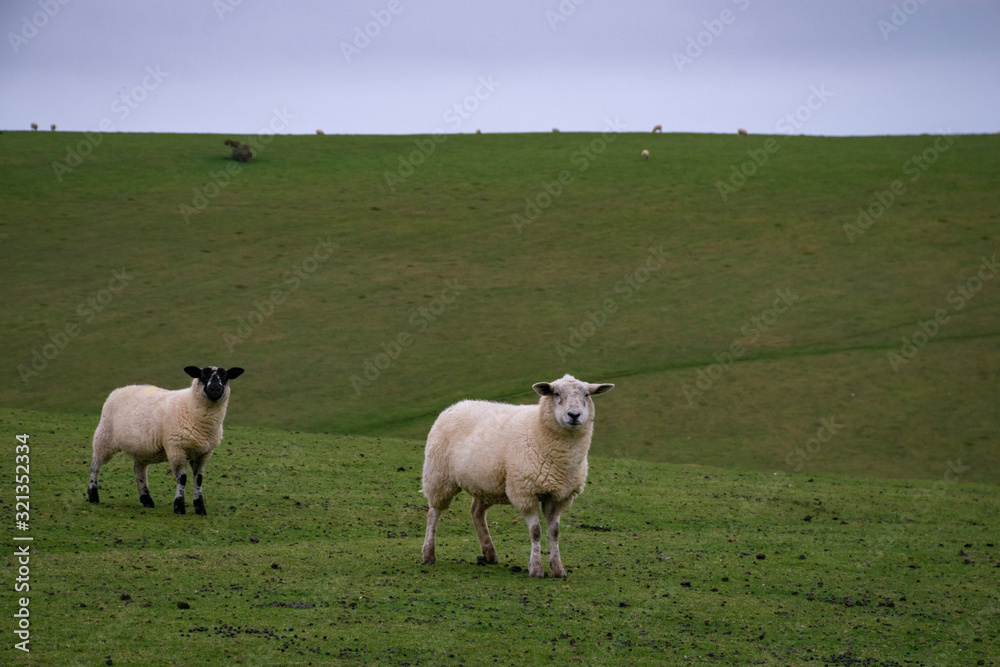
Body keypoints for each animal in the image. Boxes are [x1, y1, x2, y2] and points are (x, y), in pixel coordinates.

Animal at [89, 366, 246, 516]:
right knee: (95, 465)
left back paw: (146, 499)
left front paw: (200, 508)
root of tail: (120, 389)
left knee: (139, 470)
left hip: (141, 449)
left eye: (225, 376)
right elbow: (182, 478)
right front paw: (179, 507)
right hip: (104, 436)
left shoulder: (204, 453)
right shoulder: (176, 449)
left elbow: (198, 479)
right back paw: (93, 495)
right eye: (202, 375)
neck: (190, 406)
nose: (215, 388)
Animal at [420, 376, 612, 580]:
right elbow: (536, 532)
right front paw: (536, 568)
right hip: (439, 477)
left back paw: (489, 553)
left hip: (486, 485)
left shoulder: (558, 496)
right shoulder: (524, 491)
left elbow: (554, 532)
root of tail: (455, 405)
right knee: (433, 513)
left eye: (587, 395)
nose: (574, 415)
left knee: (476, 512)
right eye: (556, 393)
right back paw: (428, 554)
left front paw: (558, 569)